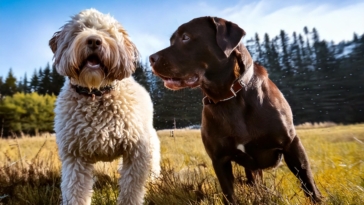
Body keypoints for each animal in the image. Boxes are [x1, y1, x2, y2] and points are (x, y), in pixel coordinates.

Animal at [48, 8, 161, 205]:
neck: (96, 92)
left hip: (151, 148)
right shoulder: (75, 155)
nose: (94, 40)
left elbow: (131, 189)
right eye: (80, 29)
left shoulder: (137, 152)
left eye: (108, 33)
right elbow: (75, 190)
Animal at [148, 16, 322, 204]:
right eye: (171, 41)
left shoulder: (291, 144)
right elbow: (229, 194)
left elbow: (307, 182)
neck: (228, 97)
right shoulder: (219, 159)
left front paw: (318, 199)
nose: (151, 58)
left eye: (185, 37)